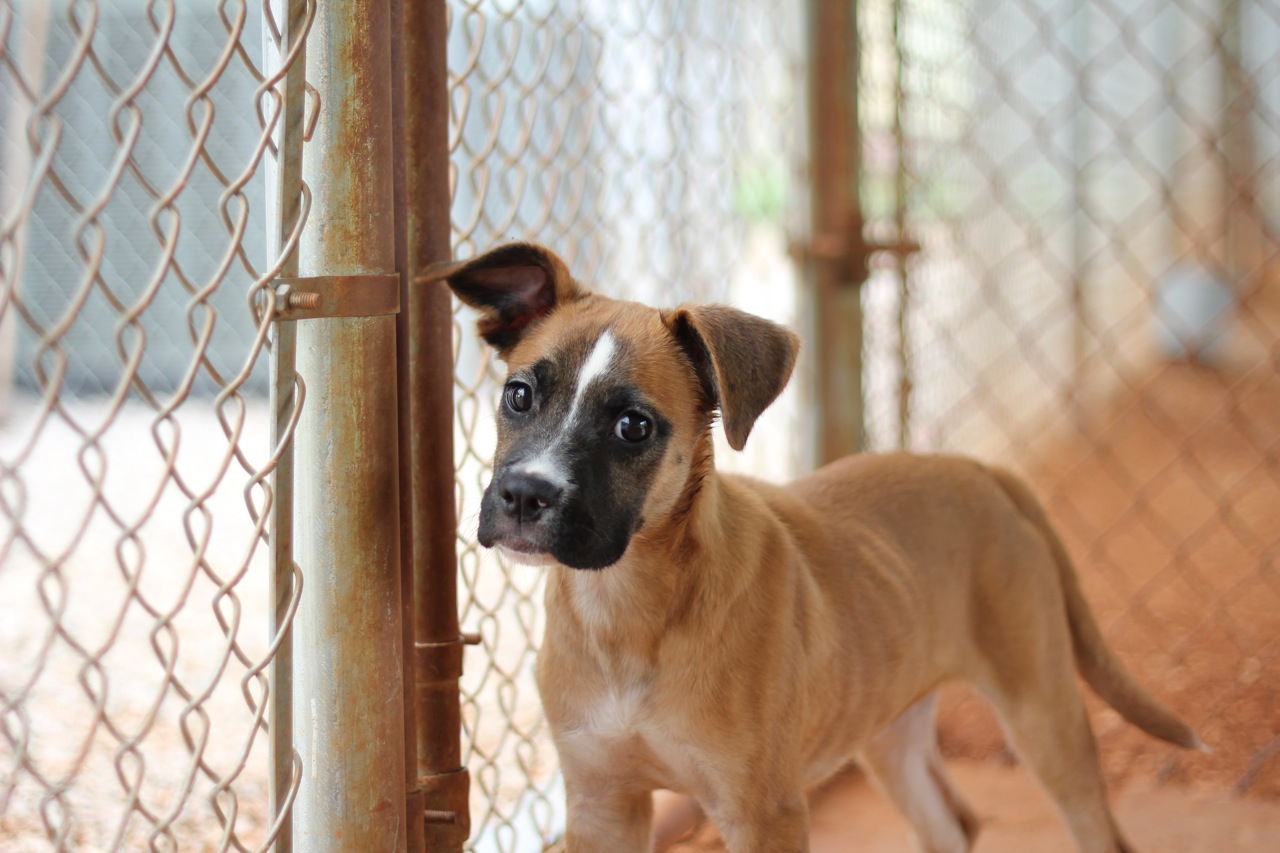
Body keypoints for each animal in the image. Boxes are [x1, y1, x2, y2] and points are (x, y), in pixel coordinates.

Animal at [435, 240, 1203, 850]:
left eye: (633, 426)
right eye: (518, 394)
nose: (525, 495)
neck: (627, 610)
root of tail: (977, 467)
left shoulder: (763, 813)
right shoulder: (602, 804)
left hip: (1042, 709)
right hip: (891, 729)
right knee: (952, 823)